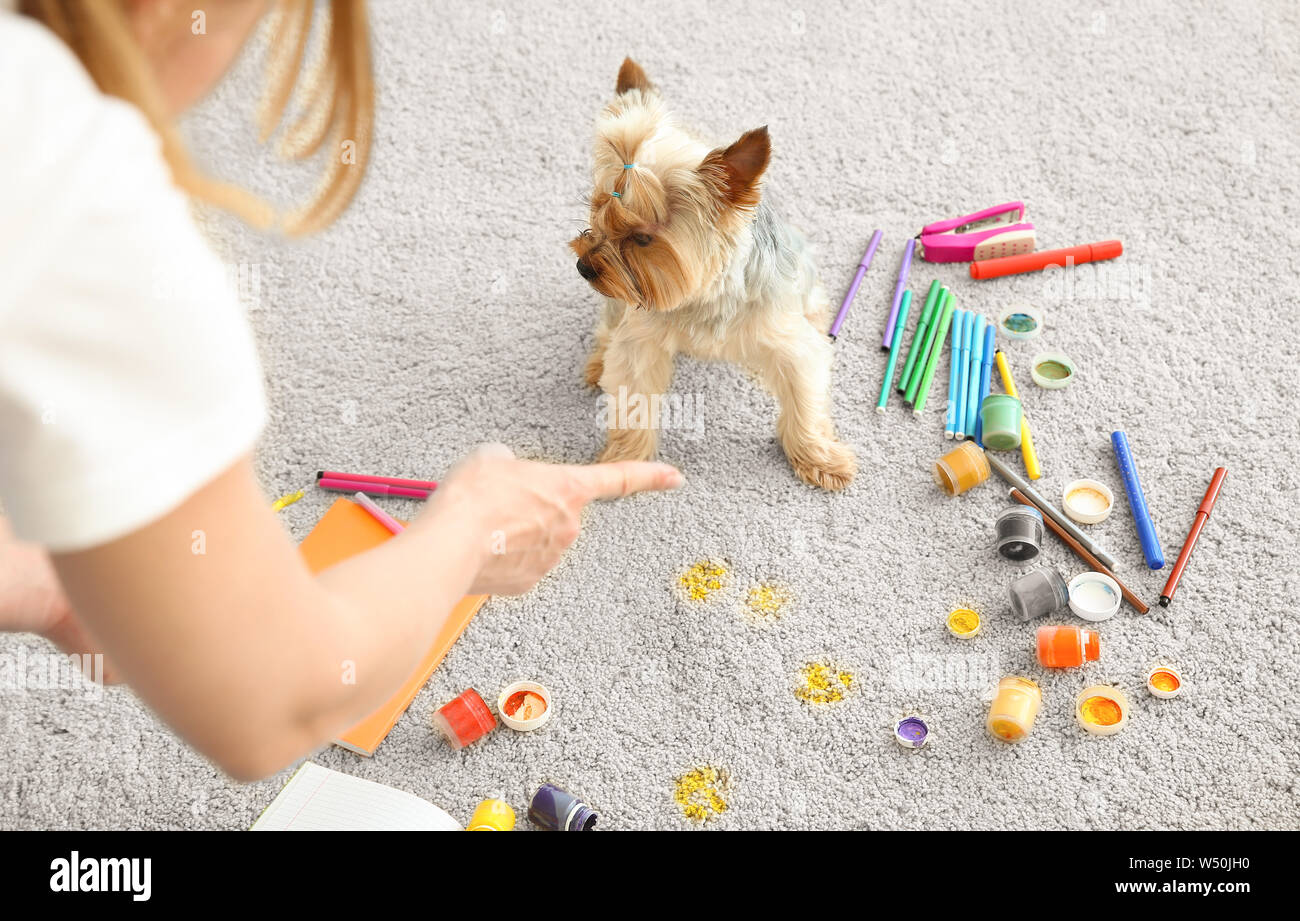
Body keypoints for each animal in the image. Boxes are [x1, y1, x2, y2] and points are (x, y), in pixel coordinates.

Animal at [569, 57, 852, 489]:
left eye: (642, 238)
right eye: (599, 210)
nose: (584, 267)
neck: (701, 296)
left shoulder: (790, 344)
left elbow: (804, 403)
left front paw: (819, 459)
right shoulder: (639, 340)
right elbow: (632, 401)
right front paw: (625, 460)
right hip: (619, 306)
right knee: (610, 328)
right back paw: (599, 361)